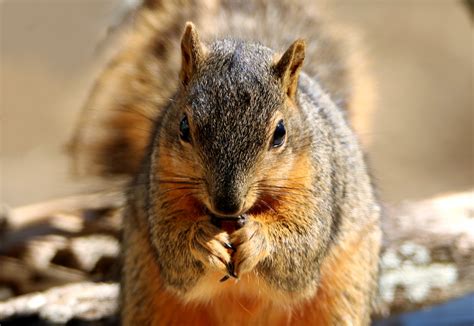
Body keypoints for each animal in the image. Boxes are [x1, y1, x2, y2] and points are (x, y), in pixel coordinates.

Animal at [69, 1, 382, 324]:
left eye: (280, 133)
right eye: (184, 127)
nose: (227, 204)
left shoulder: (319, 192)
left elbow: (300, 249)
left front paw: (256, 238)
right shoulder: (160, 187)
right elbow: (173, 252)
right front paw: (202, 240)